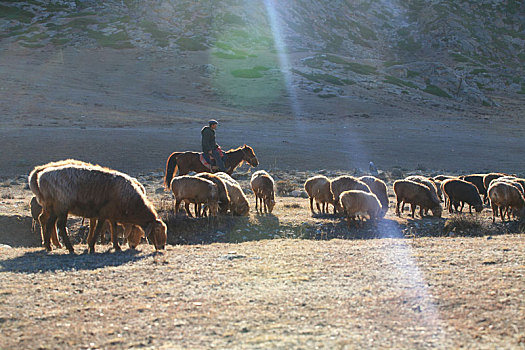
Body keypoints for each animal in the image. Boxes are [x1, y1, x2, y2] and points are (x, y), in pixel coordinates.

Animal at [32, 163, 166, 253]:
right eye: (157, 230)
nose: (162, 247)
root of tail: (41, 177)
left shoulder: (112, 214)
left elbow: (113, 228)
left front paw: (116, 246)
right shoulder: (104, 213)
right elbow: (99, 228)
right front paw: (91, 247)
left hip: (54, 208)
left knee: (50, 223)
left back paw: (48, 246)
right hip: (62, 206)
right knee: (60, 225)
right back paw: (70, 248)